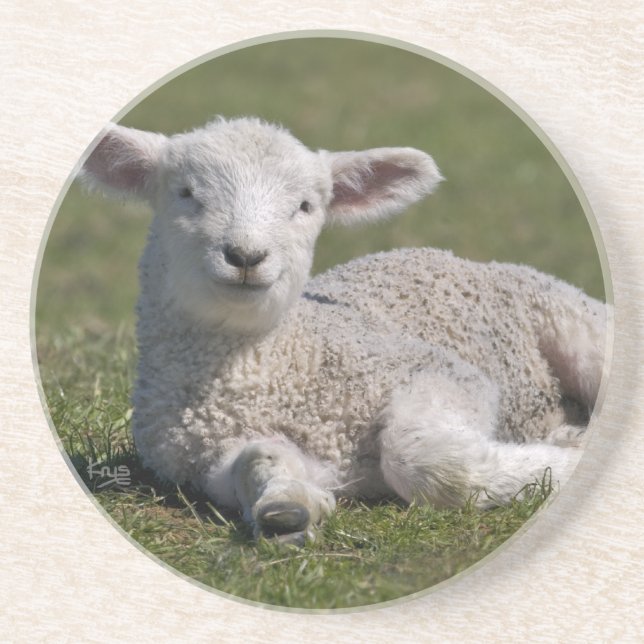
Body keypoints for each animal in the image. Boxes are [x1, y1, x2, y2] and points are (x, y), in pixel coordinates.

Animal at [81, 116, 607, 545]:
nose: (246, 256)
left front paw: (561, 468)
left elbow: (429, 462)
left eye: (304, 206)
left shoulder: (441, 371)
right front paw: (288, 509)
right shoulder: (204, 460)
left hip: (574, 324)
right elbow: (257, 461)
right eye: (187, 194)